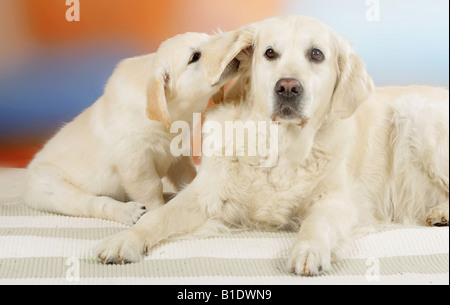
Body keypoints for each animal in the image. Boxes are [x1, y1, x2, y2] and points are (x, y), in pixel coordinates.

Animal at [22, 32, 227, 223]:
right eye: (195, 57)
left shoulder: (179, 155)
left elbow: (188, 178)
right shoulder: (135, 162)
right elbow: (151, 188)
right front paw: (157, 212)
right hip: (56, 190)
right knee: (95, 203)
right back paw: (129, 211)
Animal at [98, 15, 450, 274]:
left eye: (316, 54)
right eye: (270, 53)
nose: (288, 88)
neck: (280, 143)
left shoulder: (338, 200)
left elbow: (317, 223)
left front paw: (309, 250)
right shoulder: (206, 195)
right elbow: (158, 217)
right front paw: (125, 240)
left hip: (420, 122)